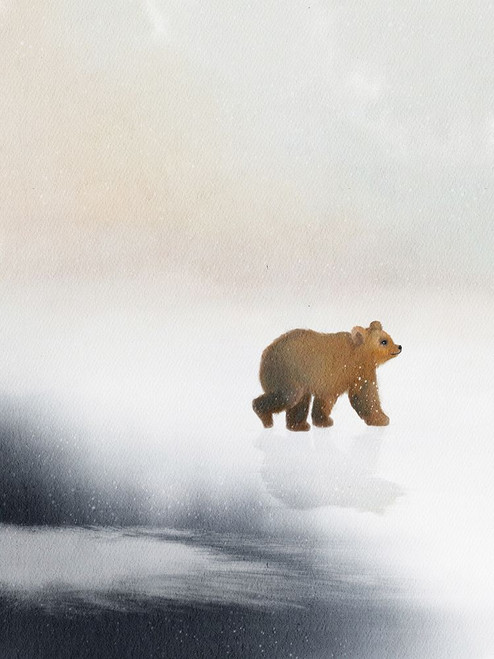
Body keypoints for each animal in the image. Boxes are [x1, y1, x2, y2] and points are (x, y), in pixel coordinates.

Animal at [252, 321, 401, 431]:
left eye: (389, 337)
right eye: (384, 341)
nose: (399, 346)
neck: (358, 355)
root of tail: (265, 353)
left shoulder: (358, 373)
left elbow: (364, 395)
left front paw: (381, 418)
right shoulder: (338, 371)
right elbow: (359, 396)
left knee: (301, 400)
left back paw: (299, 426)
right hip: (285, 371)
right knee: (288, 396)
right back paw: (265, 417)